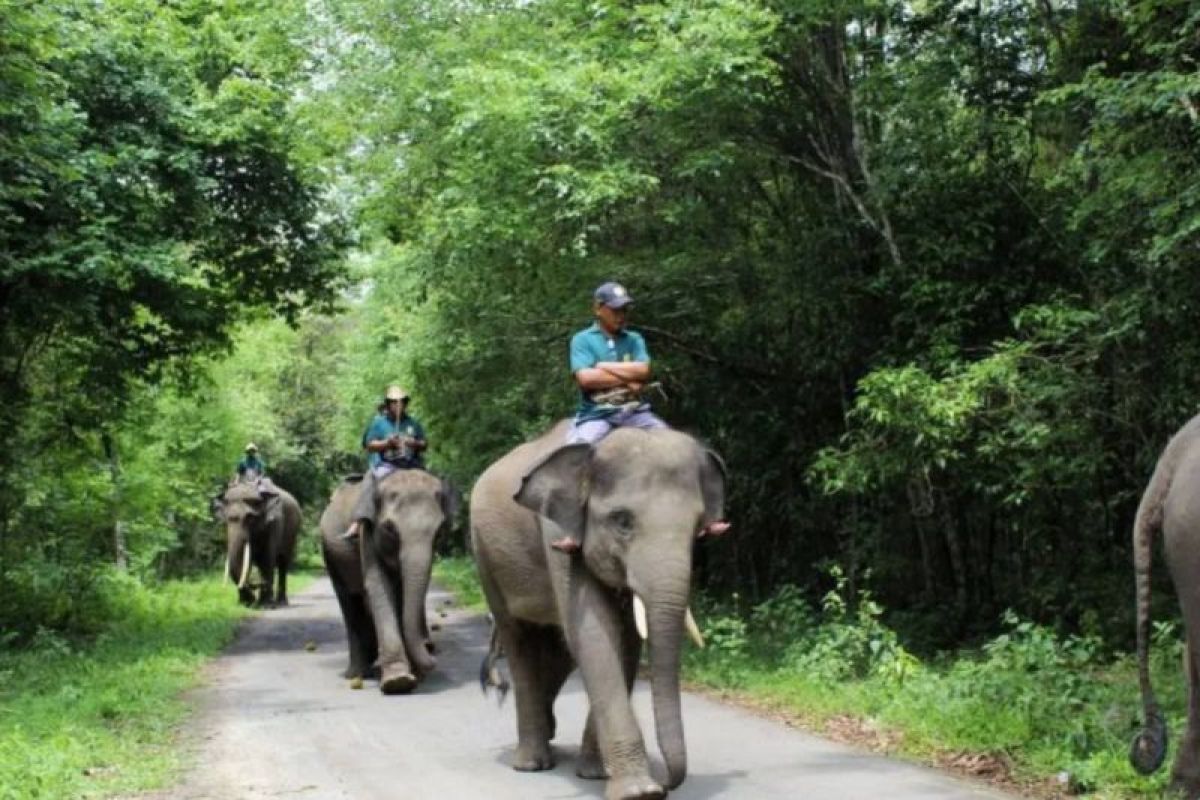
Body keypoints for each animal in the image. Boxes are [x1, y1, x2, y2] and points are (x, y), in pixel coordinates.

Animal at [316, 470, 456, 695]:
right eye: (390, 529)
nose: (432, 653)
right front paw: (398, 681)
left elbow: (401, 594)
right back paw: (357, 674)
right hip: (330, 555)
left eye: (440, 531)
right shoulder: (367, 532)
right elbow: (379, 587)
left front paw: (412, 674)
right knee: (350, 602)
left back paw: (374, 668)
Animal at [470, 419, 724, 800]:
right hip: (485, 557)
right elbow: (594, 635)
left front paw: (595, 773)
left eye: (697, 528)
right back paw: (531, 762)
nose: (667, 783)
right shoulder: (559, 533)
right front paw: (639, 791)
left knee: (558, 647)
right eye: (622, 521)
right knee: (519, 639)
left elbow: (626, 641)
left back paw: (549, 732)